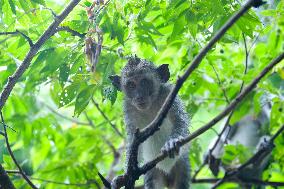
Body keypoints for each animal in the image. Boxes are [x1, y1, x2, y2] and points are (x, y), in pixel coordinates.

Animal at [110, 56, 190, 189]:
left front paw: (172, 142)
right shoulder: (129, 109)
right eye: (131, 85)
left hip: (181, 165)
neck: (150, 106)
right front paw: (125, 175)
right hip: (153, 171)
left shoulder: (169, 94)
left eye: (144, 82)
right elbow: (133, 140)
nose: (139, 96)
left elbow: (180, 120)